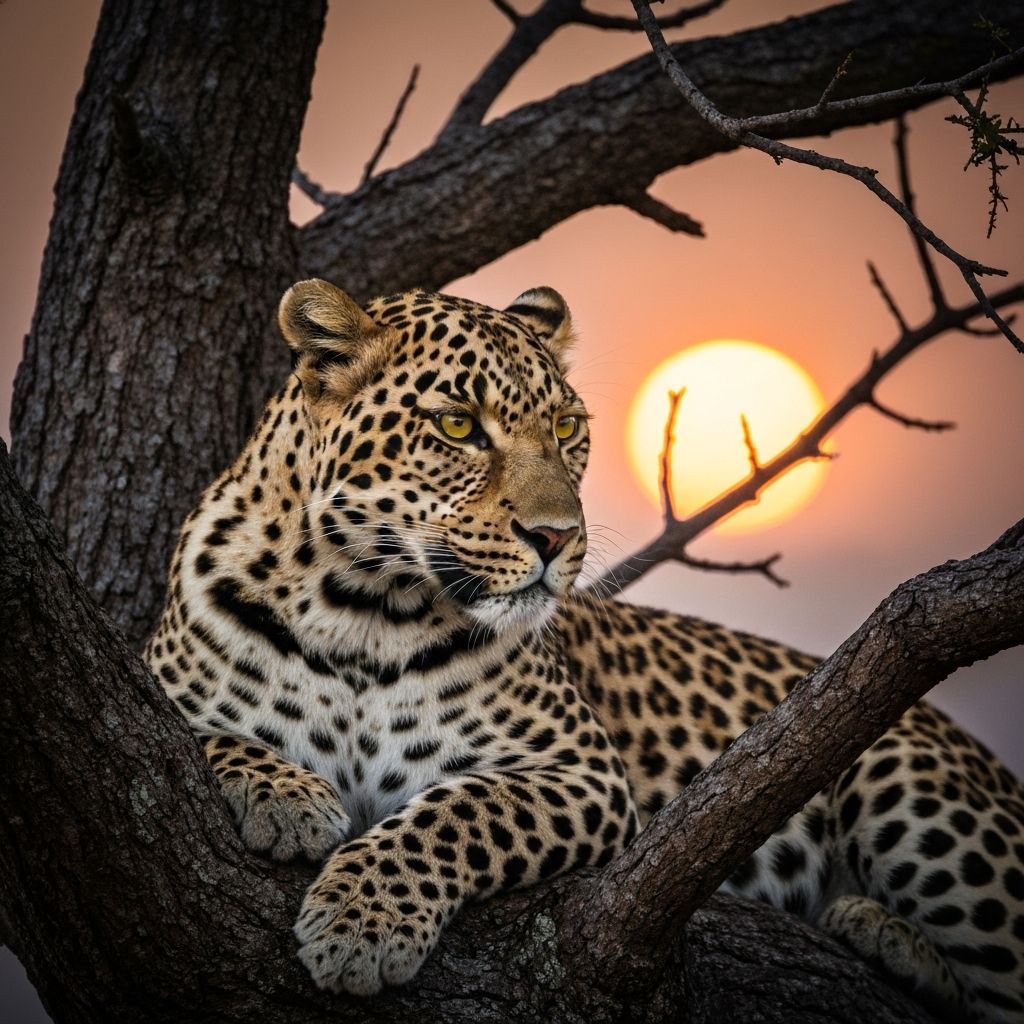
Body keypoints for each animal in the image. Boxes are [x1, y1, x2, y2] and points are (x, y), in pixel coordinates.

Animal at [147, 278, 1024, 1021]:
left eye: (568, 429)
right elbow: (197, 732)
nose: (557, 538)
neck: (362, 610)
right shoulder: (168, 686)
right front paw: (288, 800)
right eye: (458, 425)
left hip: (905, 781)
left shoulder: (584, 774)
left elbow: (459, 811)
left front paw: (363, 922)